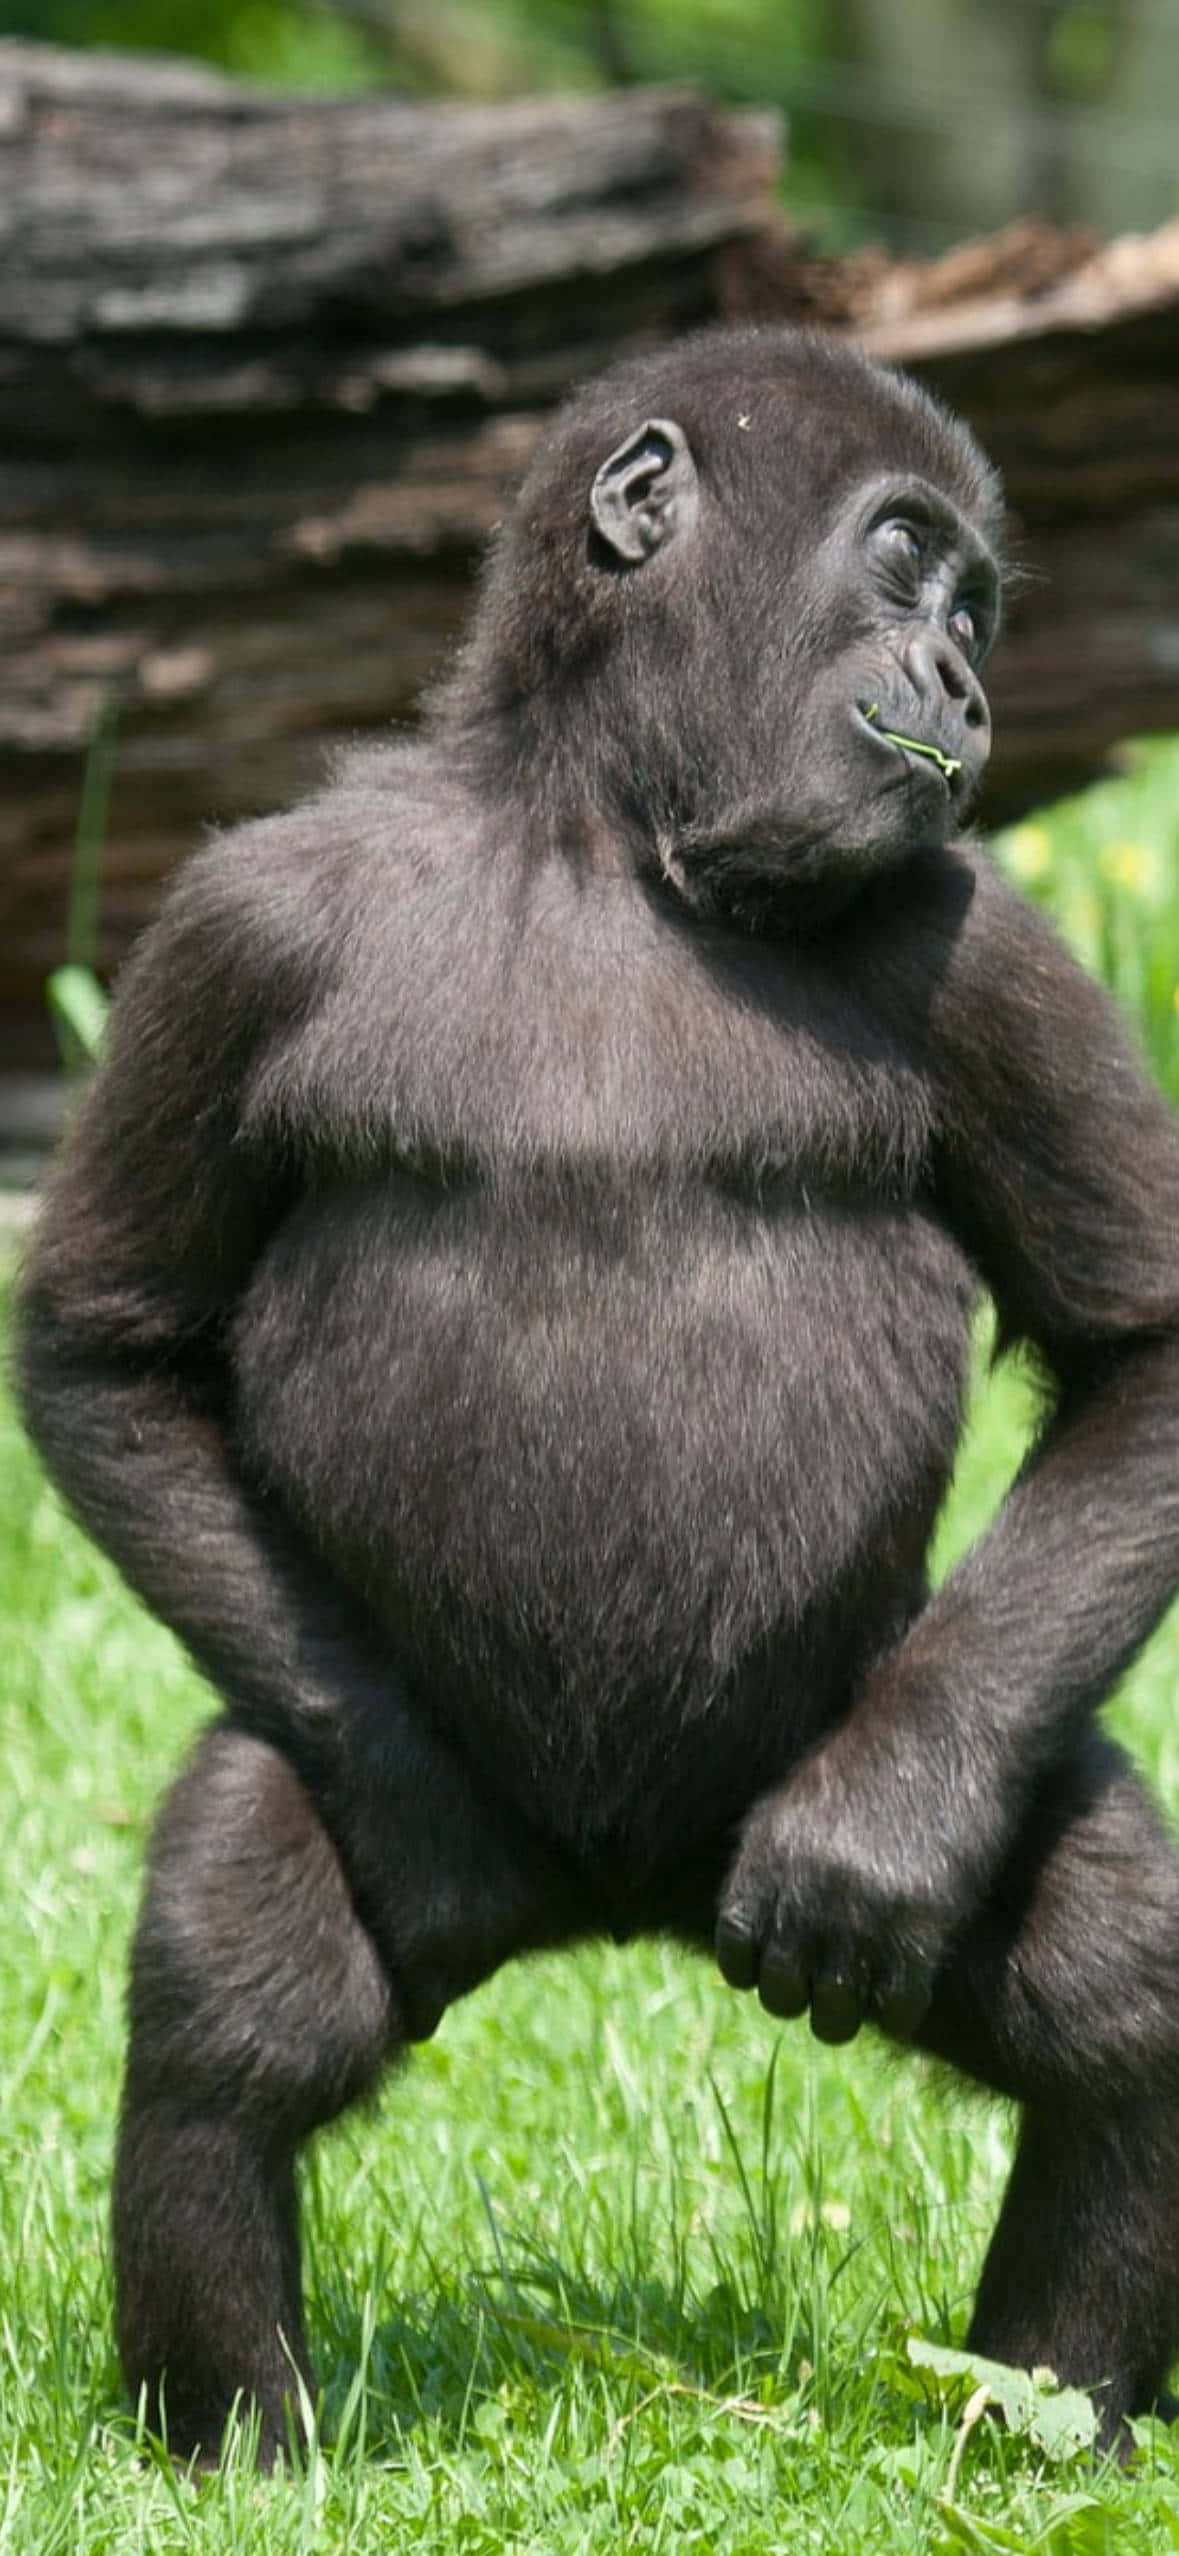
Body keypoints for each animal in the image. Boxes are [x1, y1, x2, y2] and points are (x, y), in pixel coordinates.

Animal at [16, 325, 1179, 2462]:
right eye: (907, 569)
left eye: (975, 611)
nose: (968, 687)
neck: (607, 837)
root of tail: (622, 1902)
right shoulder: (240, 921)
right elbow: (107, 1340)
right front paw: (420, 1829)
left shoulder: (981, 936)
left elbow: (1142, 1351)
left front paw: (873, 1843)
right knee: (233, 1981)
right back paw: (242, 2451)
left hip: (816, 1757)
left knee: (1111, 1967)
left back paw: (1037, 2425)